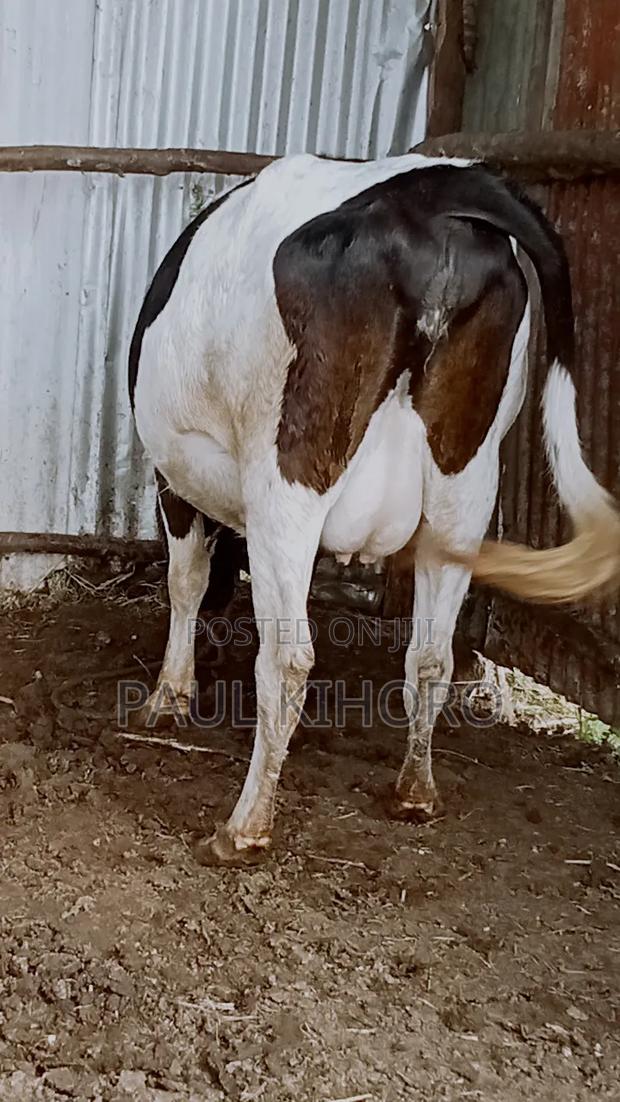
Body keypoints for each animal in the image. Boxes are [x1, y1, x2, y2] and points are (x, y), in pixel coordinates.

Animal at [128, 152, 620, 865]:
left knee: (289, 659)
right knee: (431, 655)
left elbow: (185, 582)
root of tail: (433, 188)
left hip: (290, 473)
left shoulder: (175, 478)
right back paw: (415, 792)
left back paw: (245, 826)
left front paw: (168, 695)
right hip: (466, 486)